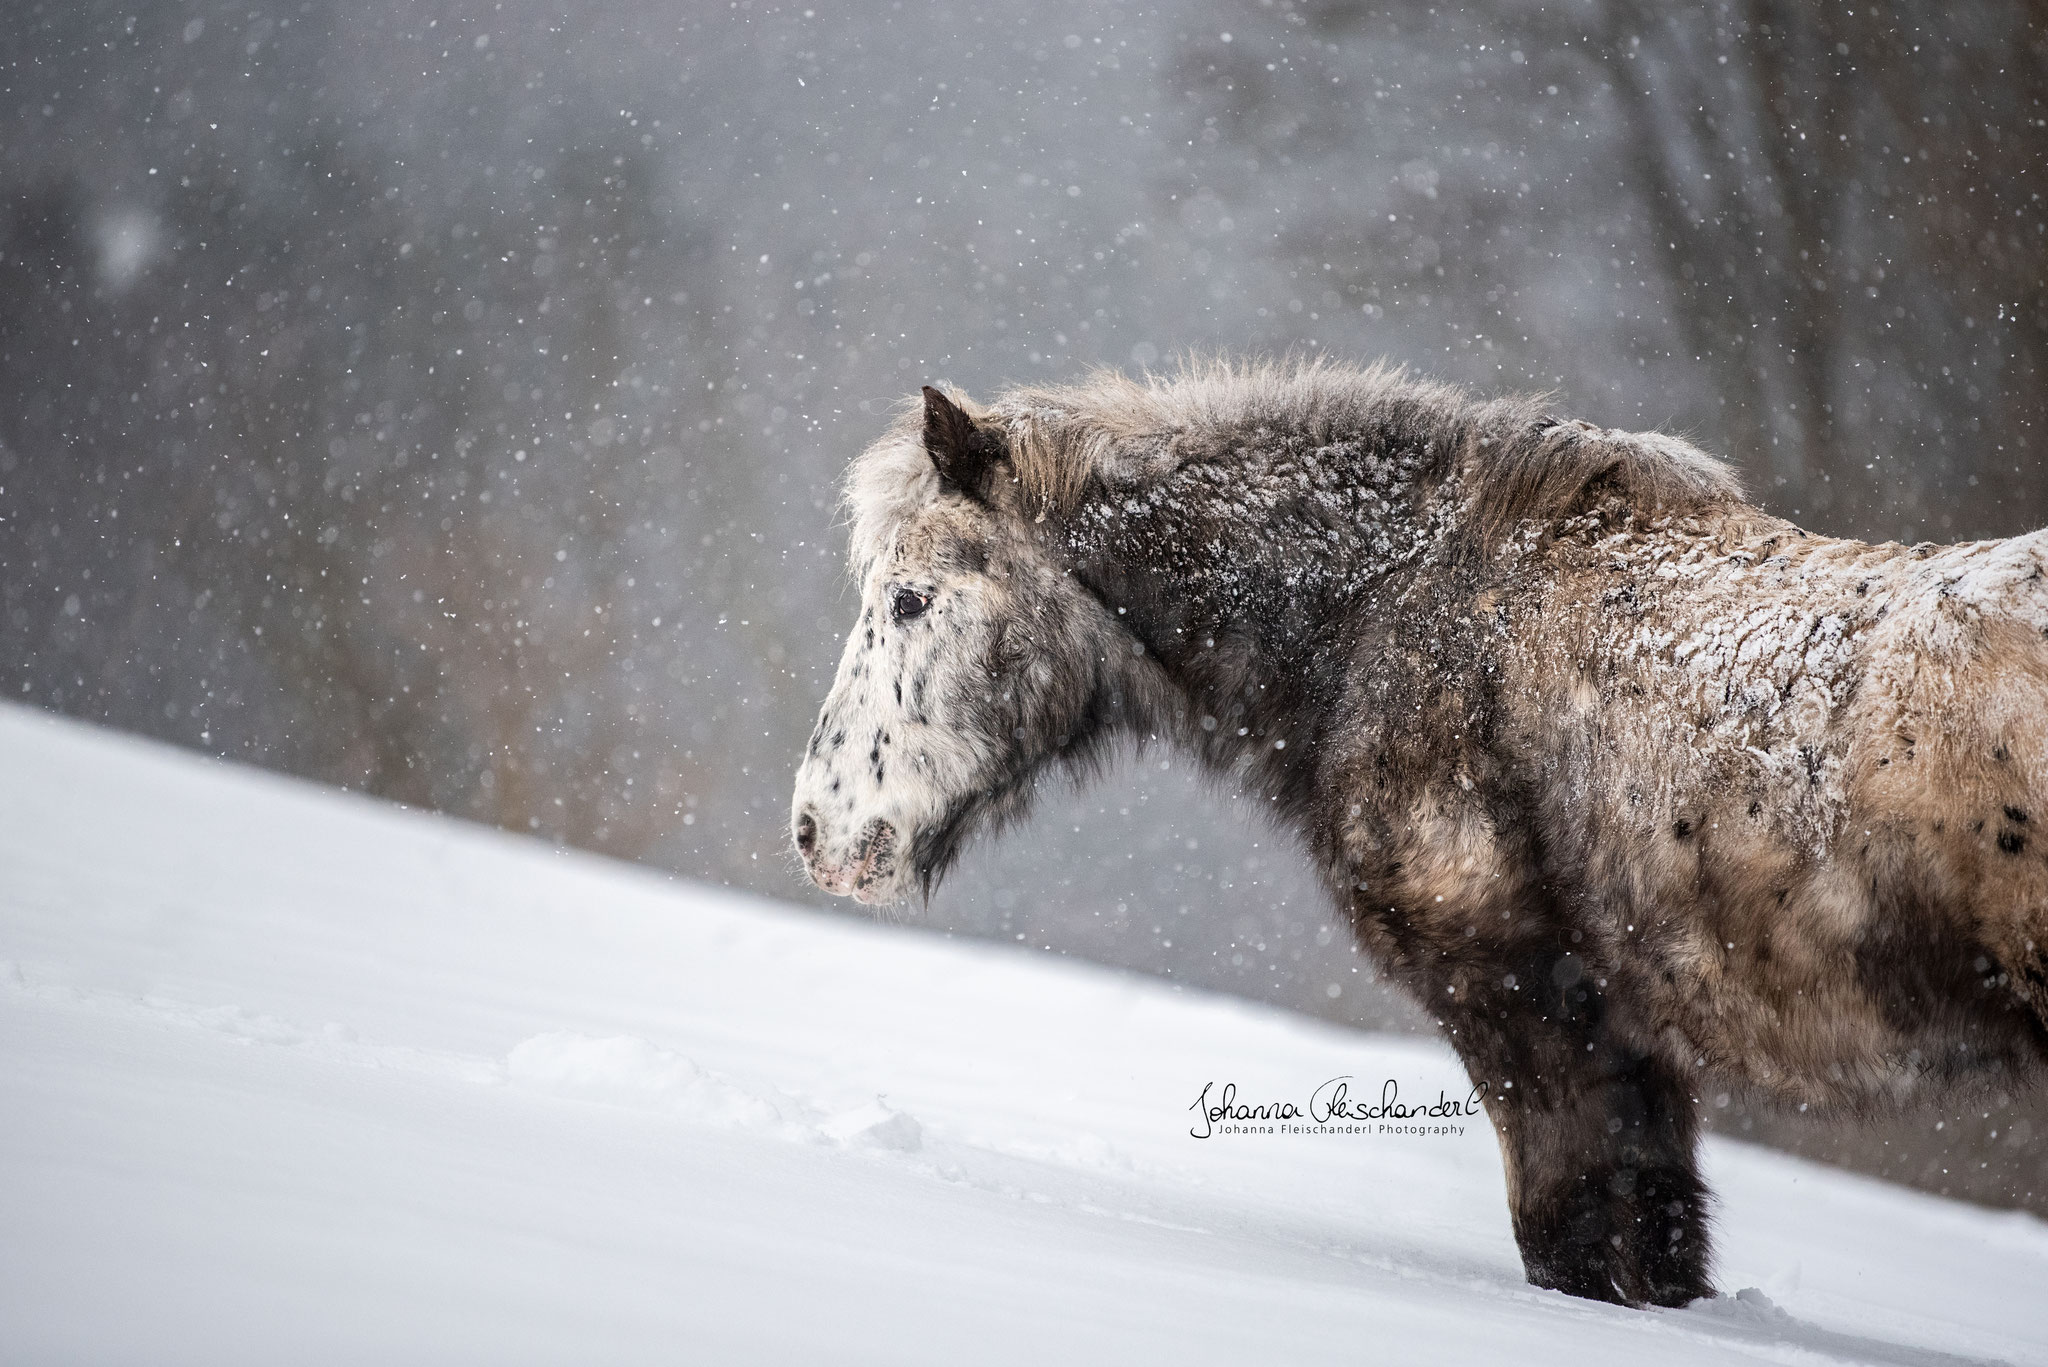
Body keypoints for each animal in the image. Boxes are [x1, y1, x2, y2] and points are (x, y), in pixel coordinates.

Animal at [790, 358, 2048, 1311]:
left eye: (907, 597)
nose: (814, 826)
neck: (1367, 618)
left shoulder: (1528, 1008)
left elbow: (1579, 1239)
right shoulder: (1623, 1043)